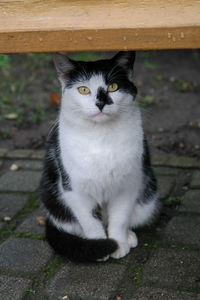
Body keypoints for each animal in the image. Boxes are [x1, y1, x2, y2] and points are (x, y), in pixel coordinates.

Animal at [39, 50, 160, 262]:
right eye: (83, 90)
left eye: (113, 87)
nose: (101, 103)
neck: (101, 136)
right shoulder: (74, 189)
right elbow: (90, 221)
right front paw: (101, 246)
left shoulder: (129, 184)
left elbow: (120, 218)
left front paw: (118, 243)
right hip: (51, 196)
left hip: (148, 195)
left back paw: (129, 236)